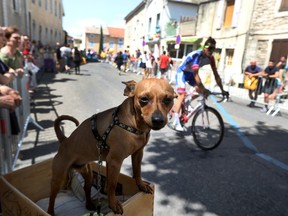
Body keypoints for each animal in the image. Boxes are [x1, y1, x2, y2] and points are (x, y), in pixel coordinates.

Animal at [47, 78, 176, 215]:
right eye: (144, 99)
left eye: (168, 99)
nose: (158, 120)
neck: (133, 125)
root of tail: (64, 140)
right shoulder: (114, 161)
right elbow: (112, 185)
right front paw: (113, 204)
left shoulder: (137, 154)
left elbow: (137, 172)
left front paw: (141, 185)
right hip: (58, 179)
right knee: (52, 198)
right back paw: (51, 212)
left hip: (88, 174)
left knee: (86, 189)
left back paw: (89, 205)